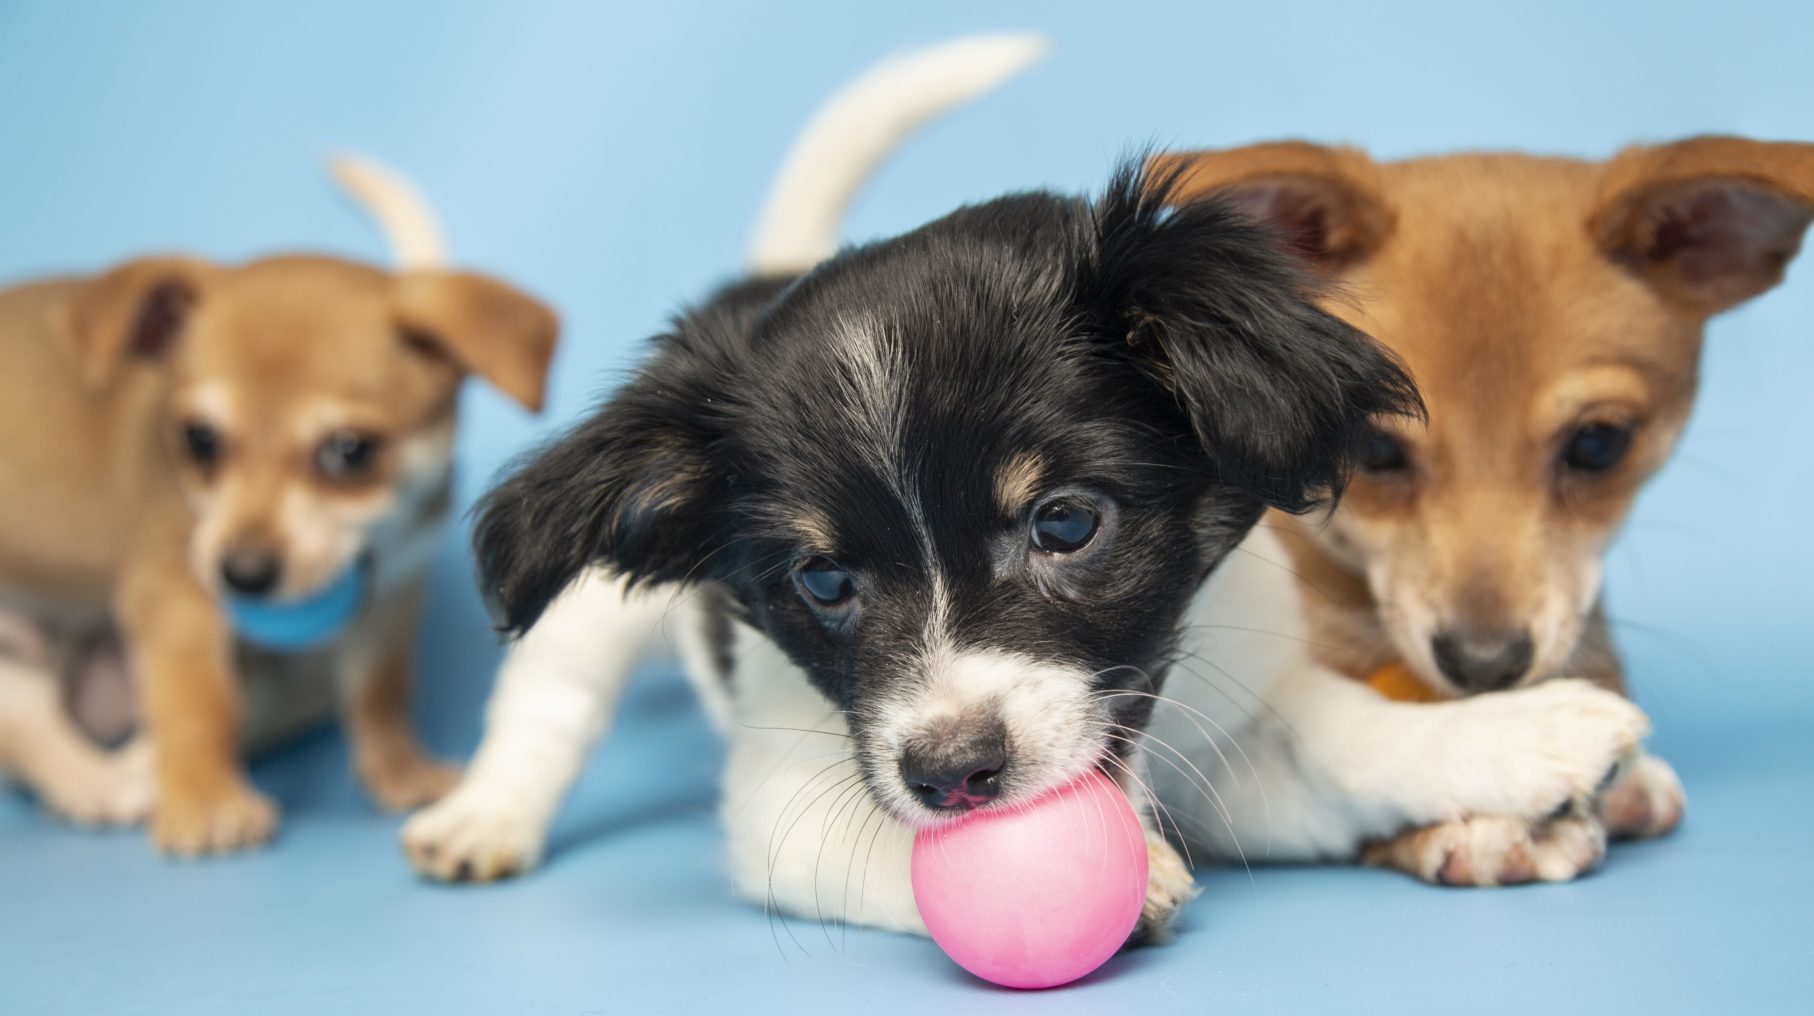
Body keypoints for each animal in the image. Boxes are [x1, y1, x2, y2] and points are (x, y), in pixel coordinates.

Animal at [0, 160, 558, 856]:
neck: (374, 544)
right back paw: (107, 783)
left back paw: (114, 777)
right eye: (199, 439)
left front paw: (398, 768)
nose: (243, 574)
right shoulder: (177, 594)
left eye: (350, 450)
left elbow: (381, 692)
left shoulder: (392, 600)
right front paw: (206, 799)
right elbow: (198, 702)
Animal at [400, 35, 1414, 943]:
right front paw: (1127, 883)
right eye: (822, 580)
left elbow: (1353, 748)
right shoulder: (789, 805)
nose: (952, 772)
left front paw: (1454, 769)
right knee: (551, 695)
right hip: (595, 618)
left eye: (1066, 524)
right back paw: (489, 813)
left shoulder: (1241, 723)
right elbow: (902, 854)